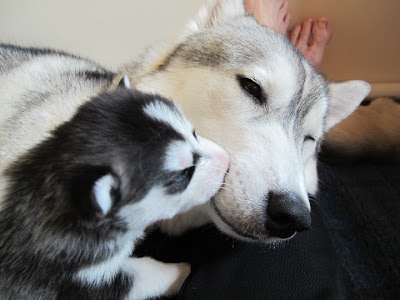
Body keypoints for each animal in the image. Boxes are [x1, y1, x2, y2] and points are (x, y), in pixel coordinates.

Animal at [0, 44, 228, 300]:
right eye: (184, 174)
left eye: (194, 133)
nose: (226, 159)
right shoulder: (72, 275)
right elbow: (141, 277)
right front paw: (181, 271)